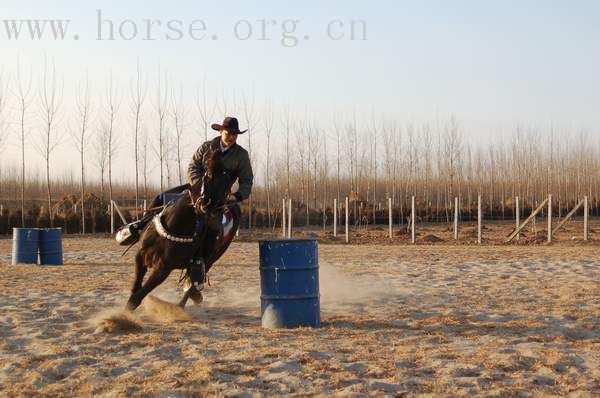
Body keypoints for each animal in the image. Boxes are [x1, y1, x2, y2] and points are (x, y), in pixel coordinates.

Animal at [125, 149, 231, 310]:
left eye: (227, 185)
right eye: (208, 174)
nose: (208, 204)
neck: (174, 225)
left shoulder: (163, 269)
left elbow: (136, 298)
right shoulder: (140, 255)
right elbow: (136, 285)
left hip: (211, 259)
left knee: (193, 284)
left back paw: (182, 305)